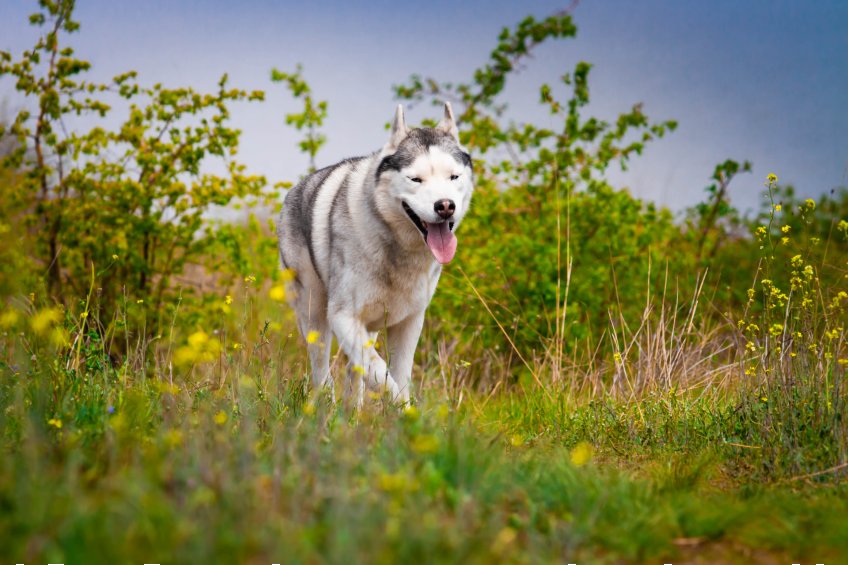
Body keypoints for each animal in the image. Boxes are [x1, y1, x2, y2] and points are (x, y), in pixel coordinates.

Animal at [280, 100, 474, 400]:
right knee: (323, 374)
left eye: (453, 176)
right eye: (415, 179)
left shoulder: (409, 323)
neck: (397, 247)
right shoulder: (343, 318)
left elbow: (396, 377)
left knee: (354, 375)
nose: (445, 206)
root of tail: (297, 188)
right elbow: (383, 377)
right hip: (315, 317)